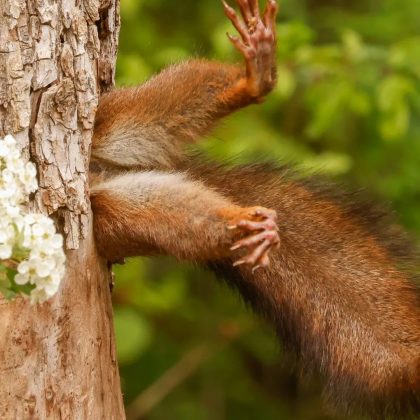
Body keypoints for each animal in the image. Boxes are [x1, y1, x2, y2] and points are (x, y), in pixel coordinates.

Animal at [88, 0, 420, 416]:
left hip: (112, 119)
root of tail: (104, 172)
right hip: (115, 215)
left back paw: (255, 78)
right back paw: (246, 226)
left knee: (162, 104)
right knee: (176, 220)